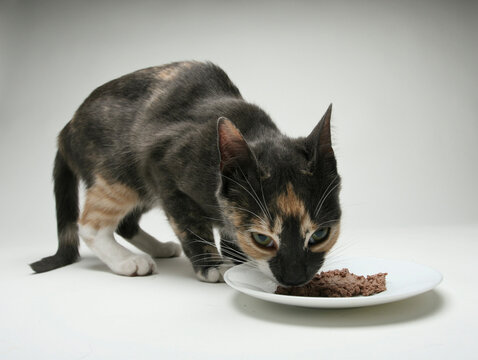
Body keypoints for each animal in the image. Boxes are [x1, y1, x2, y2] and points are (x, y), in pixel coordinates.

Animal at [29, 62, 342, 286]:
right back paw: (127, 261)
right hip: (123, 171)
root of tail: (65, 130)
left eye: (320, 235)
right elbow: (190, 225)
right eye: (263, 239)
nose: (295, 279)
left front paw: (237, 258)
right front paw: (213, 266)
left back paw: (158, 248)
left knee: (125, 223)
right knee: (90, 225)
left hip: (143, 188)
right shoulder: (163, 166)